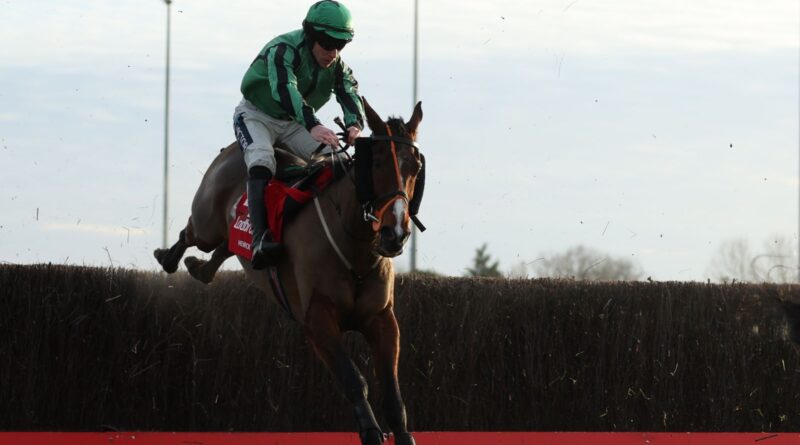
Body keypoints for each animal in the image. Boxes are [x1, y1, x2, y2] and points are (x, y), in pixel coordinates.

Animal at [152, 98, 424, 444]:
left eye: (415, 167)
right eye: (375, 162)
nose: (394, 234)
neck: (353, 246)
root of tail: (231, 149)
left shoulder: (382, 319)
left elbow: (392, 391)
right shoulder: (317, 320)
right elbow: (354, 380)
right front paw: (371, 432)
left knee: (226, 247)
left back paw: (201, 268)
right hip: (207, 221)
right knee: (191, 233)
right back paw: (168, 257)